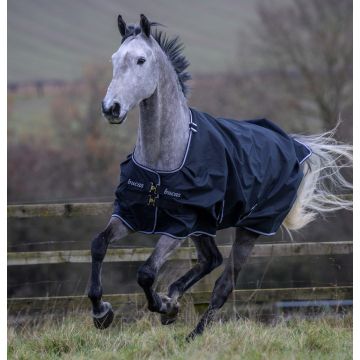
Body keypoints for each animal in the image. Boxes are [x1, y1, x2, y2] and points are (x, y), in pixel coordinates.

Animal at [87, 14, 352, 340]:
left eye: (141, 60)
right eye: (114, 59)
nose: (111, 108)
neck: (165, 159)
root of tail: (292, 145)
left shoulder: (179, 226)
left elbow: (146, 273)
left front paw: (161, 307)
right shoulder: (131, 214)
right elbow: (99, 244)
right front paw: (102, 313)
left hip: (249, 229)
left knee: (223, 285)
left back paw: (193, 333)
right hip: (204, 227)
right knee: (211, 259)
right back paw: (174, 300)